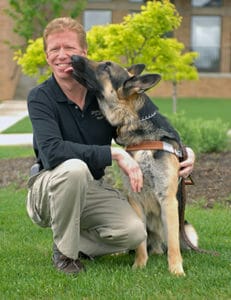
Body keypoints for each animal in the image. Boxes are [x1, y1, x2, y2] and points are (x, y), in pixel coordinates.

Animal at [71, 55, 199, 276]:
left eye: (106, 67)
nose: (73, 57)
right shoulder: (135, 199)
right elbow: (140, 243)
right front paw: (139, 265)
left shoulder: (168, 200)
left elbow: (174, 243)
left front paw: (176, 270)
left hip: (188, 230)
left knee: (172, 243)